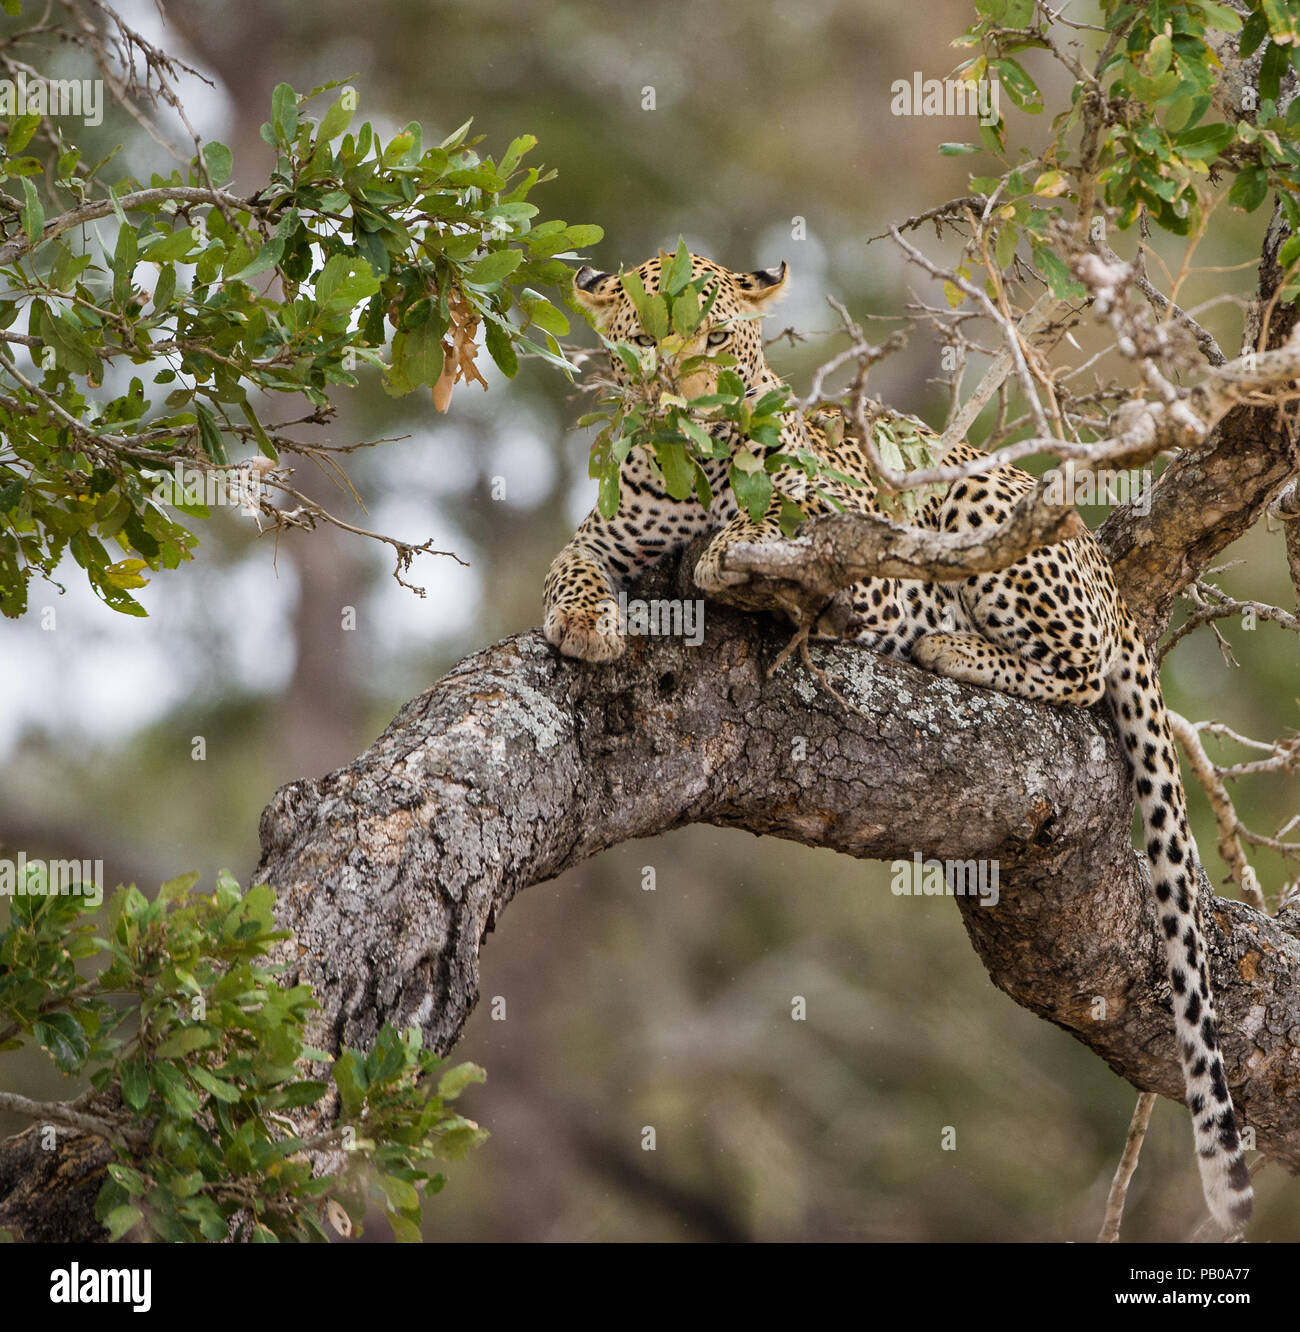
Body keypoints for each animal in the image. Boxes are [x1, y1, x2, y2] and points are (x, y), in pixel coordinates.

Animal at [543, 250, 1254, 1233]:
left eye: (716, 340)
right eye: (645, 342)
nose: (685, 402)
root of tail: (1111, 576)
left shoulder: (861, 552)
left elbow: (777, 526)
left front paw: (733, 547)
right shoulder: (610, 532)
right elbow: (569, 562)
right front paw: (583, 621)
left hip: (982, 510)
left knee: (1079, 665)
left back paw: (950, 644)